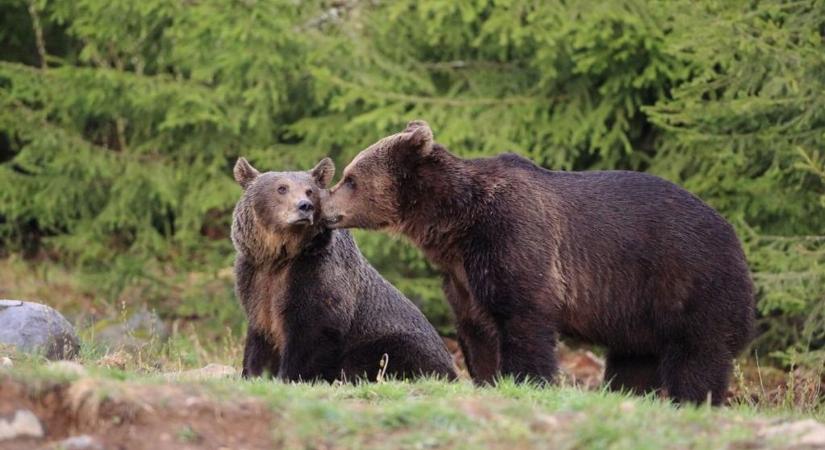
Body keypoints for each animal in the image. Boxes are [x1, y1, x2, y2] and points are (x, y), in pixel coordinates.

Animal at [232, 156, 458, 382]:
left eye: (310, 191)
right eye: (281, 188)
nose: (305, 206)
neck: (281, 256)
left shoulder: (315, 273)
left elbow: (312, 330)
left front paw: (289, 375)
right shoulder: (255, 279)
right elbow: (260, 334)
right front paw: (254, 372)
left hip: (393, 343)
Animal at [320, 119, 752, 404]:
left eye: (350, 178)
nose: (322, 206)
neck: (456, 224)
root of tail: (735, 238)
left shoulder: (514, 238)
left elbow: (524, 318)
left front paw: (526, 381)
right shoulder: (463, 276)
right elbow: (478, 330)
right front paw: (487, 379)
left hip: (690, 281)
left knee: (698, 355)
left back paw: (692, 399)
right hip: (638, 312)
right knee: (633, 359)